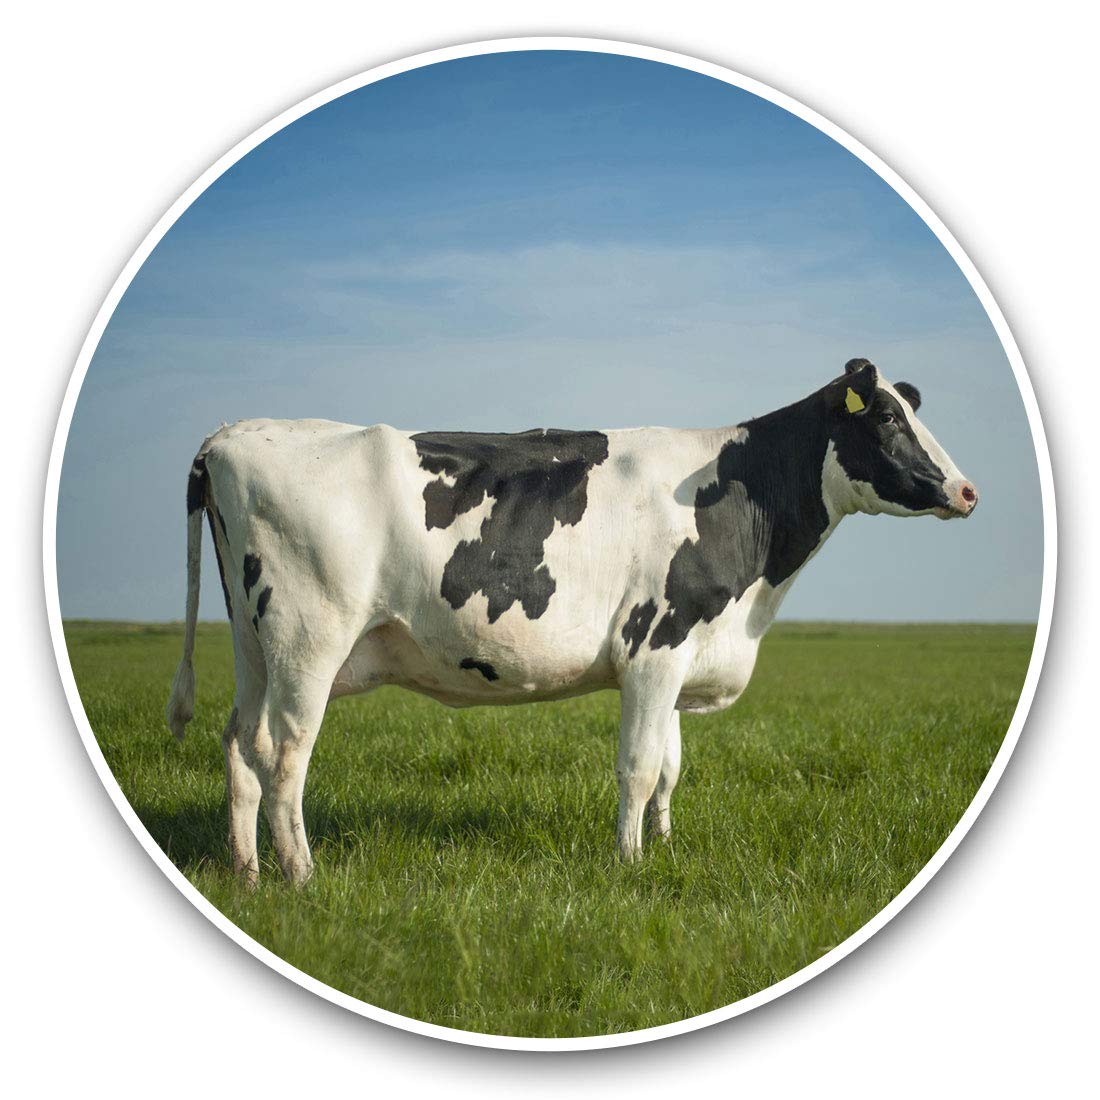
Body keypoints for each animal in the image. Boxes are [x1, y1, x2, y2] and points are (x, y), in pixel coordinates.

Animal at [166, 358, 978, 884]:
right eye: (886, 418)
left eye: (913, 412)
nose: (967, 490)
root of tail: (234, 433)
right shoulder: (656, 645)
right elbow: (640, 766)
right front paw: (629, 865)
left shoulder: (680, 654)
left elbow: (671, 768)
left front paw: (665, 849)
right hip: (309, 638)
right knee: (283, 751)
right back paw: (302, 876)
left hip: (253, 644)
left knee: (238, 743)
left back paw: (246, 872)